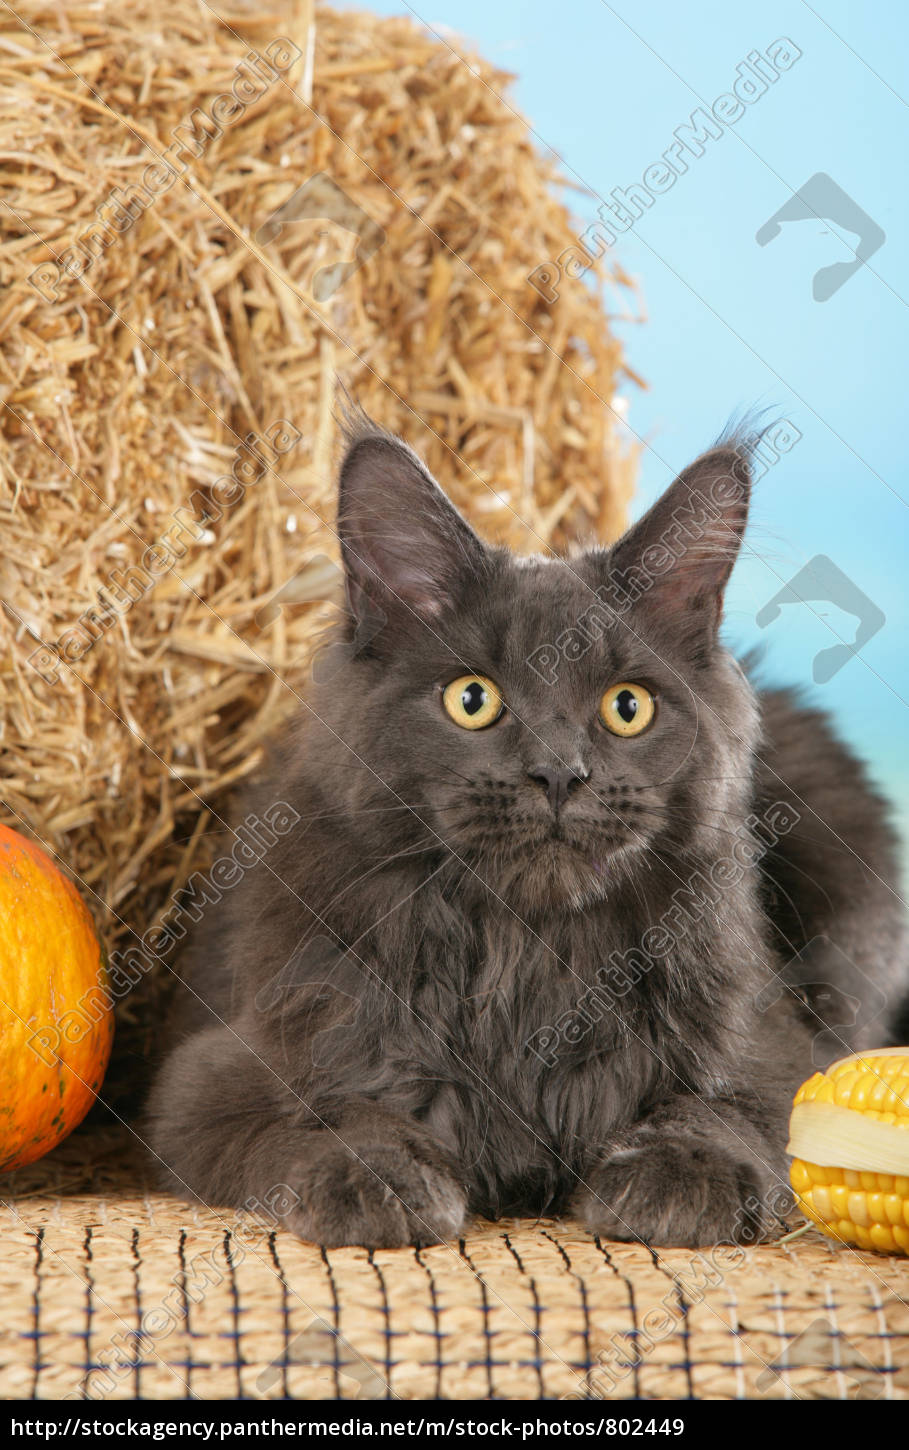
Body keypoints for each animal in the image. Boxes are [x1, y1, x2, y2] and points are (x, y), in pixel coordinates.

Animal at [145, 414, 904, 1252]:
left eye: (626, 707)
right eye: (472, 699)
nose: (558, 774)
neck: (530, 953)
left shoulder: (771, 1052)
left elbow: (728, 1115)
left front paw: (675, 1175)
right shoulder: (214, 1074)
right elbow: (329, 1115)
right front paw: (376, 1177)